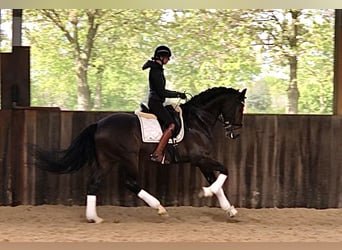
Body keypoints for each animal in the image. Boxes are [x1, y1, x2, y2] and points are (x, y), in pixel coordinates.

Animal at [31, 86, 246, 223]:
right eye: (240, 107)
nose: (235, 134)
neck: (197, 121)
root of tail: (99, 124)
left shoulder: (201, 160)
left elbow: (215, 179)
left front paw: (230, 210)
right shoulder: (198, 158)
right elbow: (224, 171)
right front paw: (207, 192)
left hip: (107, 160)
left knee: (93, 183)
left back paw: (94, 218)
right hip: (129, 157)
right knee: (131, 183)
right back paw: (160, 208)